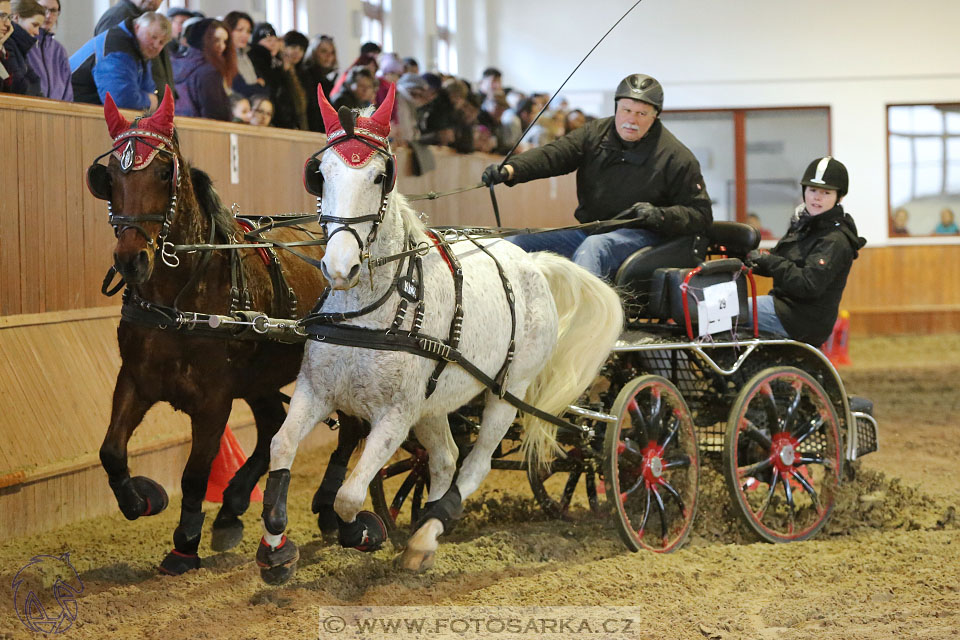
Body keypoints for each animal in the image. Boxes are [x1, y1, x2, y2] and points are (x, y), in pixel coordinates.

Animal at [87, 85, 364, 576]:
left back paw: (328, 508)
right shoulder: (136, 379)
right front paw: (142, 500)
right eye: (111, 178)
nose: (131, 259)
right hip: (258, 377)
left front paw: (184, 544)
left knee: (348, 432)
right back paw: (233, 507)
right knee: (272, 425)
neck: (180, 298)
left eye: (164, 173)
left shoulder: (214, 400)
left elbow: (195, 475)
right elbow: (112, 452)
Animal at [255, 86, 624, 584]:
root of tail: (533, 262)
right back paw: (422, 532)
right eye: (322, 174)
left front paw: (363, 531)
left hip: (507, 392)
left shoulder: (395, 414)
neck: (370, 315)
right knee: (446, 457)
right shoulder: (317, 391)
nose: (339, 267)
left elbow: (349, 496)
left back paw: (428, 534)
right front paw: (276, 549)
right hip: (434, 401)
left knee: (476, 461)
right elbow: (281, 447)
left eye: (379, 177)